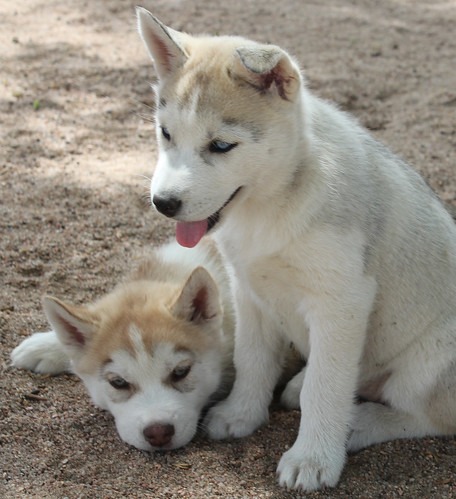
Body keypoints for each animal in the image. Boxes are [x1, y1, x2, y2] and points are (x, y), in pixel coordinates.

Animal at [137, 6, 456, 492]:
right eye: (165, 134)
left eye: (221, 145)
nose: (164, 203)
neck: (269, 206)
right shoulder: (248, 289)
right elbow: (252, 359)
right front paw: (241, 414)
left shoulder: (341, 302)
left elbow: (325, 386)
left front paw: (313, 458)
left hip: (430, 360)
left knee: (428, 415)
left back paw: (360, 423)